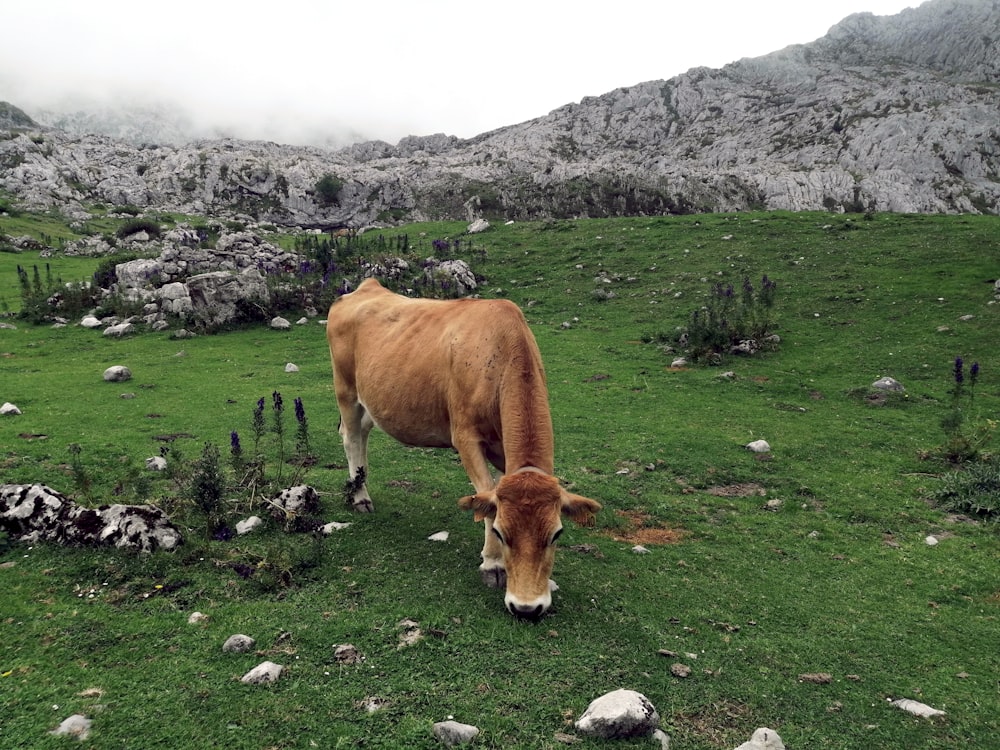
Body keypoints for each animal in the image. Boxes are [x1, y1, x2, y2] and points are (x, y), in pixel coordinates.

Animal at [326, 280, 600, 620]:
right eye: (501, 533)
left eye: (557, 534)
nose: (526, 608)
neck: (500, 354)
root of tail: (366, 287)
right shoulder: (465, 437)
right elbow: (485, 494)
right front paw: (492, 564)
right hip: (346, 389)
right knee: (351, 437)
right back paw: (360, 498)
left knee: (361, 434)